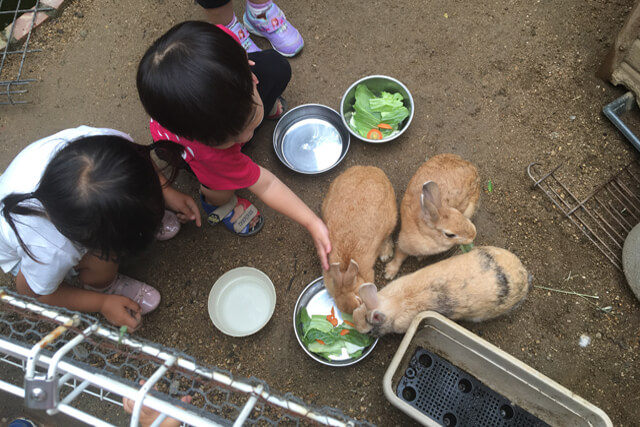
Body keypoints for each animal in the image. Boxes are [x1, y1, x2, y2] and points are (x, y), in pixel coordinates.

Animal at [322, 166, 398, 316]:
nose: (349, 310)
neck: (345, 267)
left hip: (391, 219)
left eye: (359, 300)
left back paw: (385, 253)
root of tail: (373, 169)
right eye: (335, 299)